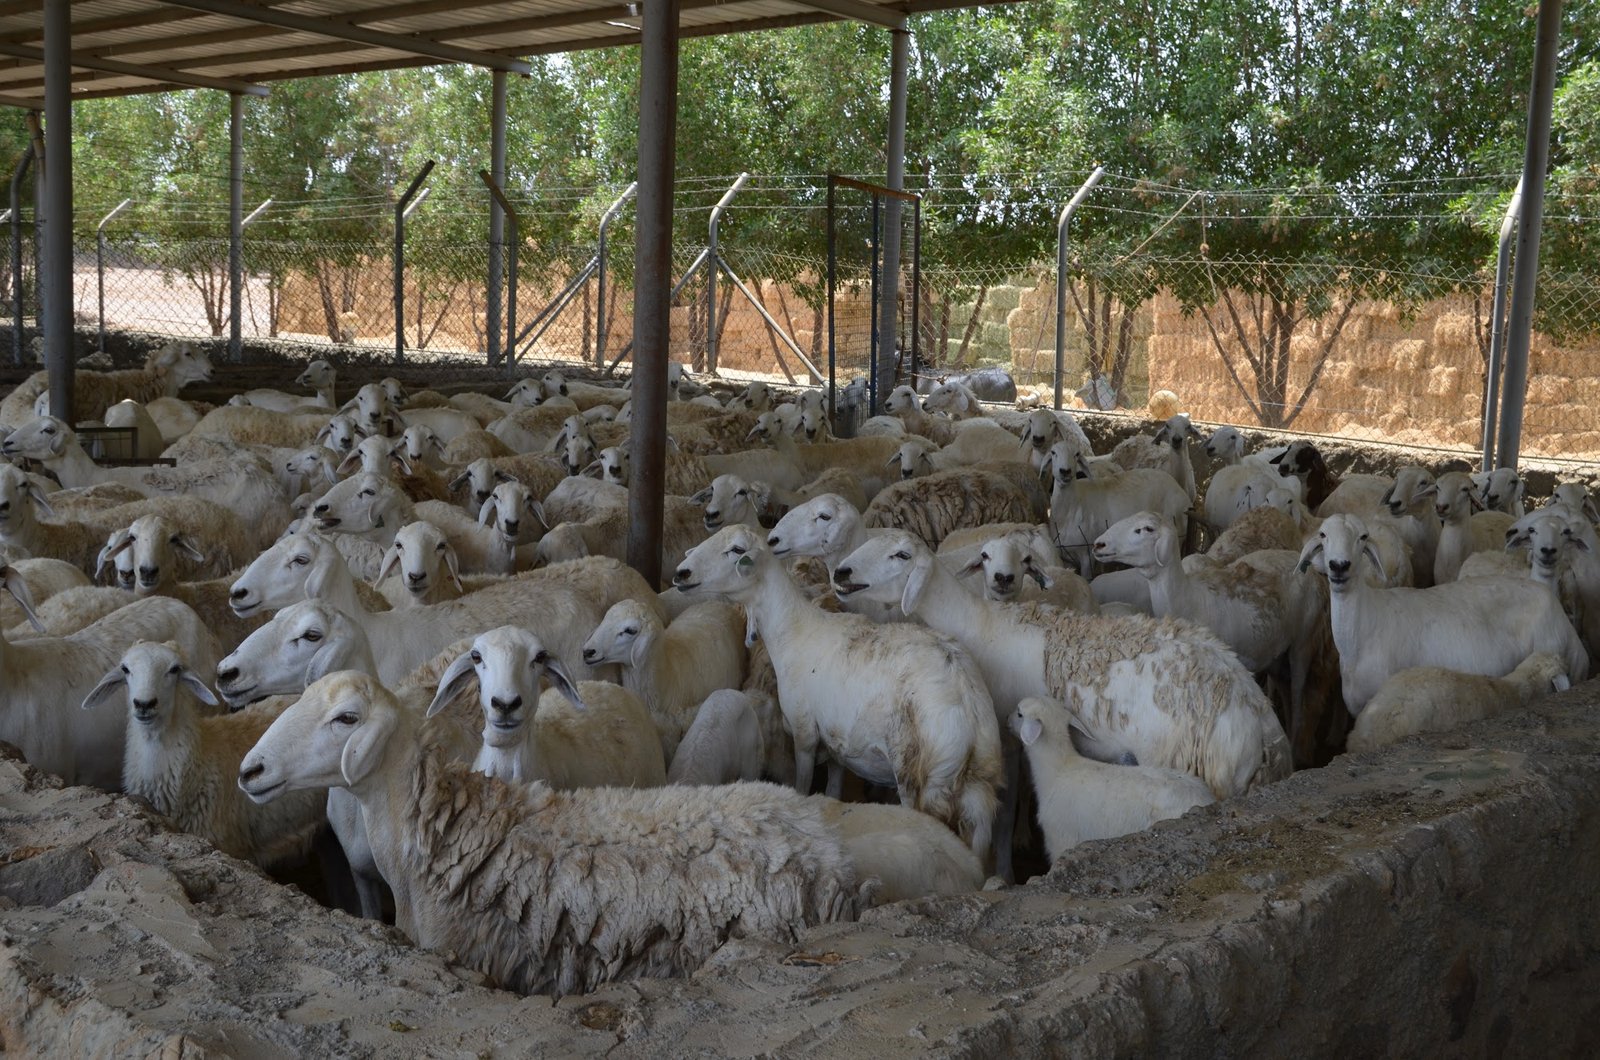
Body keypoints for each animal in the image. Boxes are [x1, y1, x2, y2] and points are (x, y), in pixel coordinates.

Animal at [673, 525, 1002, 861]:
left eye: (737, 550)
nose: (681, 573)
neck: (792, 630)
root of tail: (967, 702)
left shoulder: (804, 732)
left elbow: (803, 783)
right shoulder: (836, 742)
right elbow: (832, 788)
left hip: (921, 780)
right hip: (979, 793)